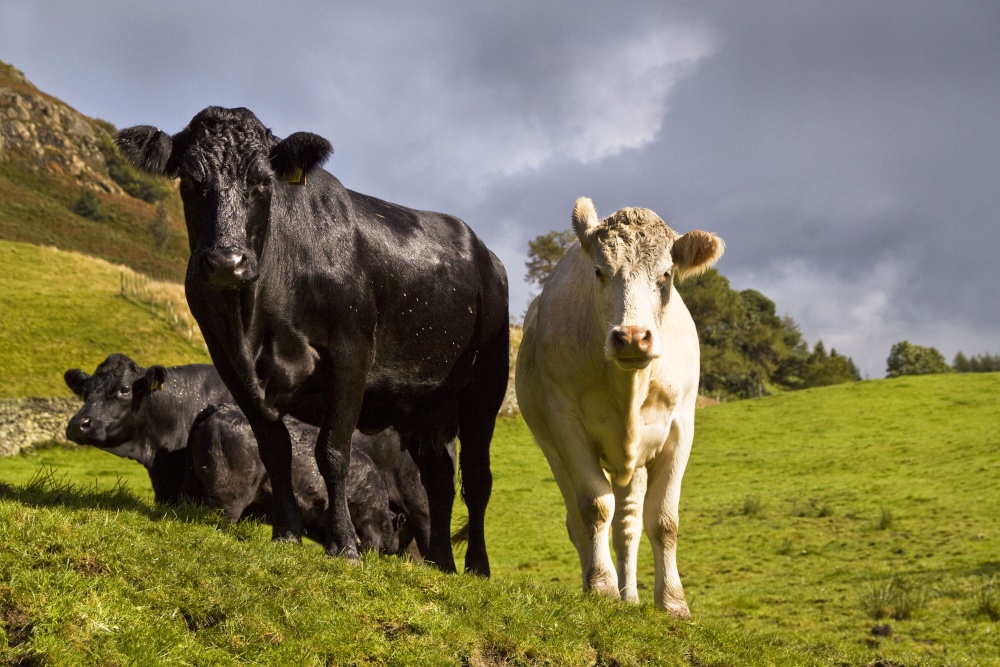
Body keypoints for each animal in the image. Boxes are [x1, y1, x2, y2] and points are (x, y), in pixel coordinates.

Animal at [116, 105, 508, 576]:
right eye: (191, 179)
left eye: (263, 180)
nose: (227, 262)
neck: (255, 314)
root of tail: (487, 256)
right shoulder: (232, 365)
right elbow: (275, 450)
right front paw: (287, 532)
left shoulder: (350, 356)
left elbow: (332, 452)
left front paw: (344, 544)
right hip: (423, 408)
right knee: (438, 481)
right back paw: (440, 564)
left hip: (485, 388)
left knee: (477, 480)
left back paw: (477, 566)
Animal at [516, 196, 728, 620]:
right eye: (599, 271)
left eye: (666, 274)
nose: (632, 337)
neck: (629, 384)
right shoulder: (566, 424)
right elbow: (595, 507)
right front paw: (601, 587)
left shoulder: (680, 429)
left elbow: (663, 520)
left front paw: (673, 603)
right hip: (552, 450)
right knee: (580, 521)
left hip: (633, 463)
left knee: (627, 526)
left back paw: (631, 596)